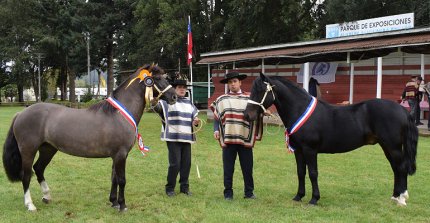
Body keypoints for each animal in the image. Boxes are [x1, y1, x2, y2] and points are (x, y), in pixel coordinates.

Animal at [2, 64, 176, 211]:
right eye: (157, 78)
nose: (174, 96)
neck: (118, 114)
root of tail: (21, 113)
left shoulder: (116, 156)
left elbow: (113, 178)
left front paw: (113, 202)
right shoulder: (121, 155)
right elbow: (121, 180)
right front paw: (122, 205)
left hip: (48, 149)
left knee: (38, 169)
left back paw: (47, 196)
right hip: (28, 150)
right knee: (26, 175)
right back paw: (30, 205)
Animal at [245, 73, 416, 206]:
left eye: (261, 90)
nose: (247, 115)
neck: (300, 109)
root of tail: (402, 110)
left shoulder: (310, 150)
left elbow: (313, 173)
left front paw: (314, 199)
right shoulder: (299, 150)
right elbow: (300, 172)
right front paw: (298, 196)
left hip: (393, 146)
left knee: (401, 168)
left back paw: (402, 199)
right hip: (386, 146)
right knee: (395, 168)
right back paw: (395, 196)